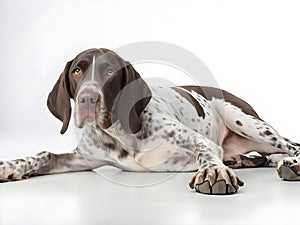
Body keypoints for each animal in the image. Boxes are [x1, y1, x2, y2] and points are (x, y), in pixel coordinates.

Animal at [1, 48, 298, 195]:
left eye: (110, 71)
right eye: (76, 71)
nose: (87, 99)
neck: (119, 134)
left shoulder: (197, 139)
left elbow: (204, 150)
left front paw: (213, 172)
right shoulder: (84, 158)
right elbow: (44, 154)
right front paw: (10, 166)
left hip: (244, 120)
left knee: (290, 146)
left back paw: (291, 164)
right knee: (262, 157)